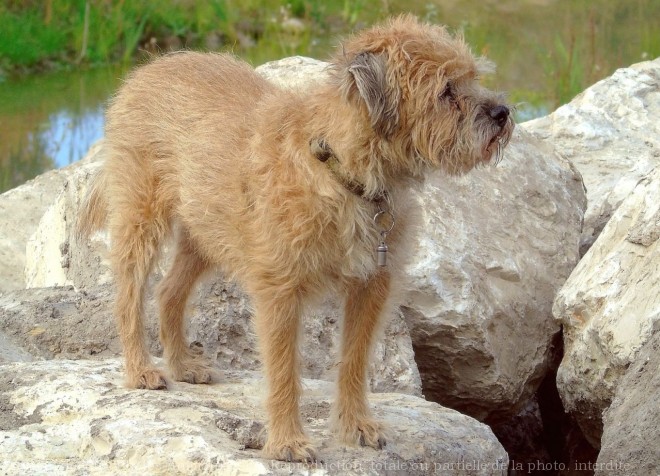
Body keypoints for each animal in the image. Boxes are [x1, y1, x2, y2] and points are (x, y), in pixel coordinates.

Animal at [76, 13, 510, 462]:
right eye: (446, 91)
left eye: (473, 78)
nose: (502, 112)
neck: (344, 171)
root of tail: (145, 71)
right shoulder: (279, 291)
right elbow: (284, 369)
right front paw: (287, 442)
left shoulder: (372, 286)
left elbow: (355, 361)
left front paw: (354, 426)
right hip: (141, 220)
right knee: (129, 297)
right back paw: (141, 369)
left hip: (205, 233)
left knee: (168, 292)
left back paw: (183, 366)